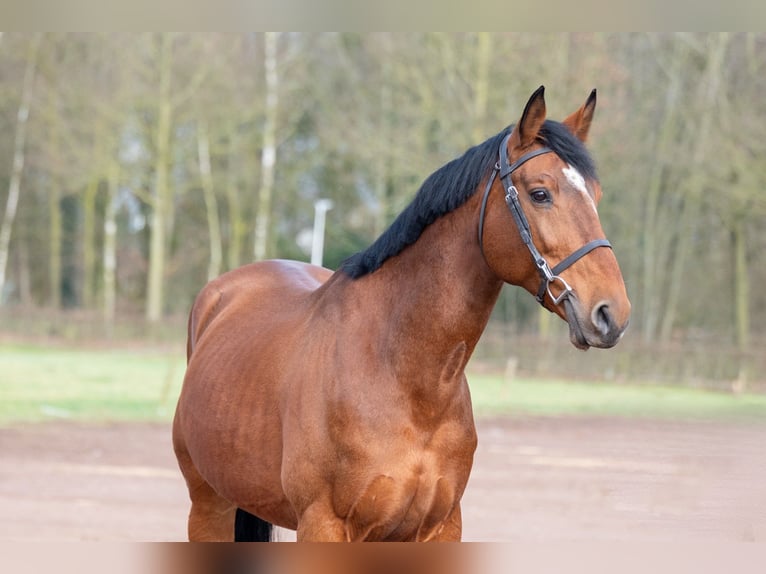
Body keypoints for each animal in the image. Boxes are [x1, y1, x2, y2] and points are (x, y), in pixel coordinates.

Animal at [174, 86, 632, 544]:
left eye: (596, 196)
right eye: (540, 193)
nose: (612, 313)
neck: (405, 379)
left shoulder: (441, 527)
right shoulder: (323, 524)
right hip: (209, 506)